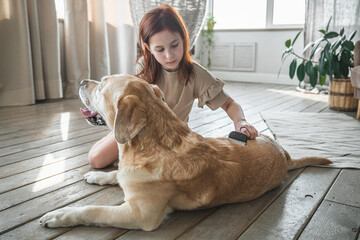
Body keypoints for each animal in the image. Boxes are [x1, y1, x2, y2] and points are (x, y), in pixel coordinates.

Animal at [39, 74, 332, 231]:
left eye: (101, 86)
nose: (80, 81)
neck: (149, 146)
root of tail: (284, 154)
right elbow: (116, 174)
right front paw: (99, 176)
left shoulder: (140, 214)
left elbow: (93, 211)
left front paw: (59, 216)